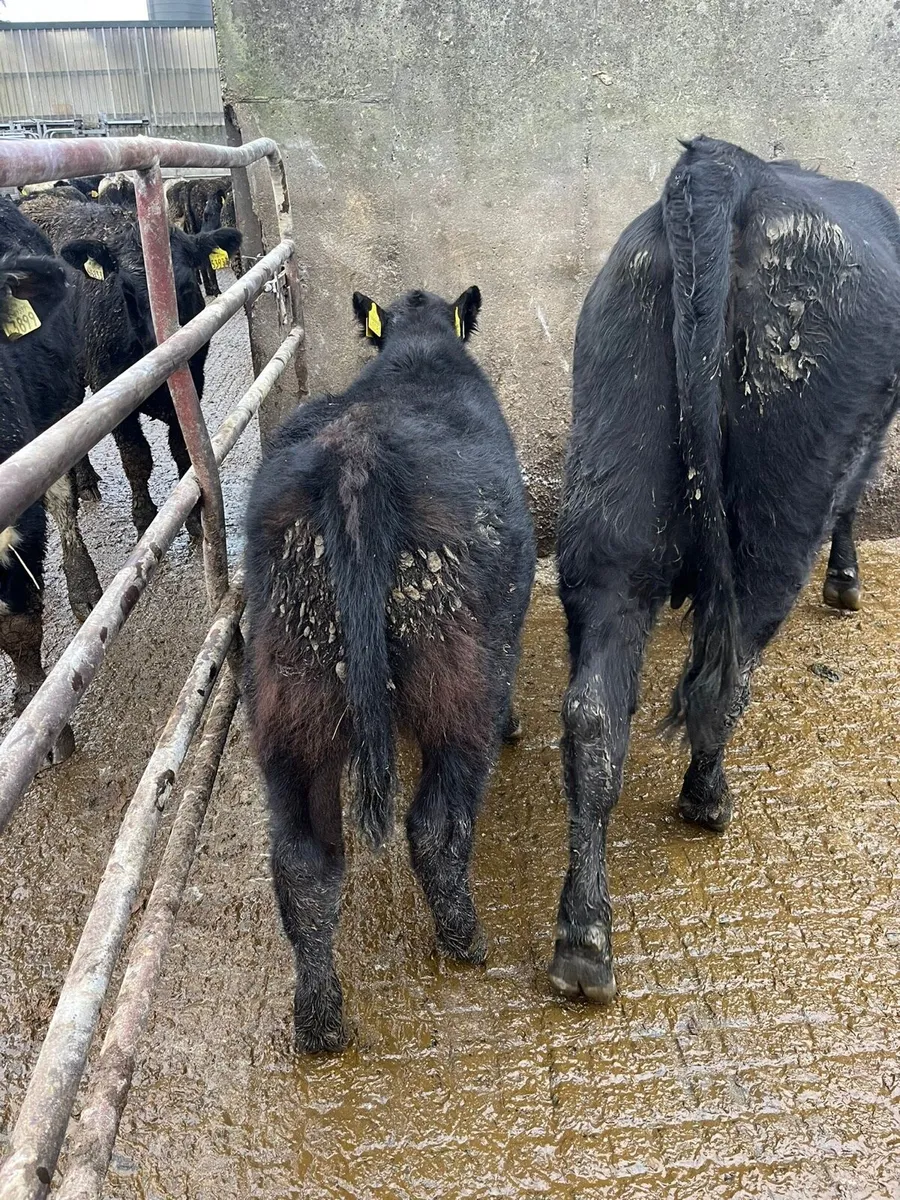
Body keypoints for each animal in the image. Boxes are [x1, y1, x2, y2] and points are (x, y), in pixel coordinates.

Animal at [23, 193, 241, 536]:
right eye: (125, 289)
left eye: (186, 285)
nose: (160, 352)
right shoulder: (112, 395)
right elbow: (136, 457)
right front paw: (144, 516)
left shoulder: (192, 383)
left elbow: (181, 450)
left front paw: (193, 518)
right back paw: (86, 481)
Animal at [244, 286, 536, 1052]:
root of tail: (355, 462)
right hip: (458, 685)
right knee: (435, 825)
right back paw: (464, 940)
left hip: (292, 696)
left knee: (304, 861)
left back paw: (319, 1020)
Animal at [550, 136, 900, 1005]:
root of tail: (730, 169)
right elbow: (856, 498)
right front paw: (847, 582)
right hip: (777, 512)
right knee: (727, 677)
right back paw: (706, 800)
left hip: (614, 500)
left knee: (594, 712)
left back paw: (583, 941)